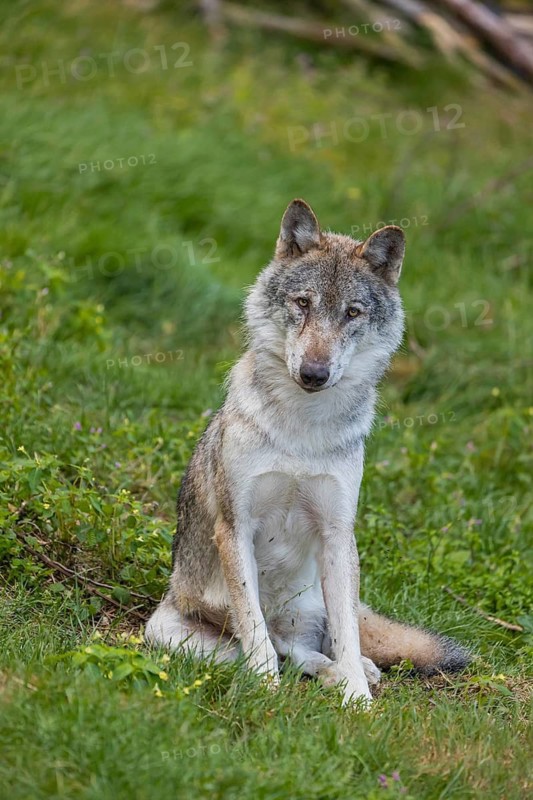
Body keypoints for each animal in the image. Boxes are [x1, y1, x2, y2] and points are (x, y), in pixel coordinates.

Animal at [146, 199, 469, 704]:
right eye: (303, 303)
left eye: (352, 313)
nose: (314, 373)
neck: (303, 429)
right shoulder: (235, 529)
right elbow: (255, 627)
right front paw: (264, 689)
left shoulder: (338, 532)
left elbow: (347, 633)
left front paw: (359, 700)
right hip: (164, 631)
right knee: (278, 648)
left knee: (320, 642)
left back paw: (357, 672)